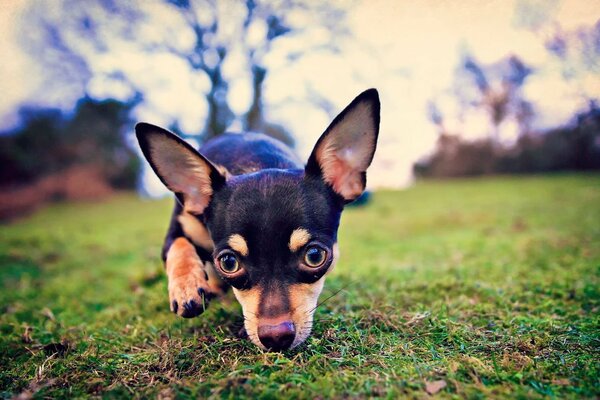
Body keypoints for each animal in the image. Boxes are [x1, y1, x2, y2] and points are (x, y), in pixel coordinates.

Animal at [136, 88, 380, 350]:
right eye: (228, 263)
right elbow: (179, 246)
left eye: (315, 256)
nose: (276, 337)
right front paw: (186, 287)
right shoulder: (179, 227)